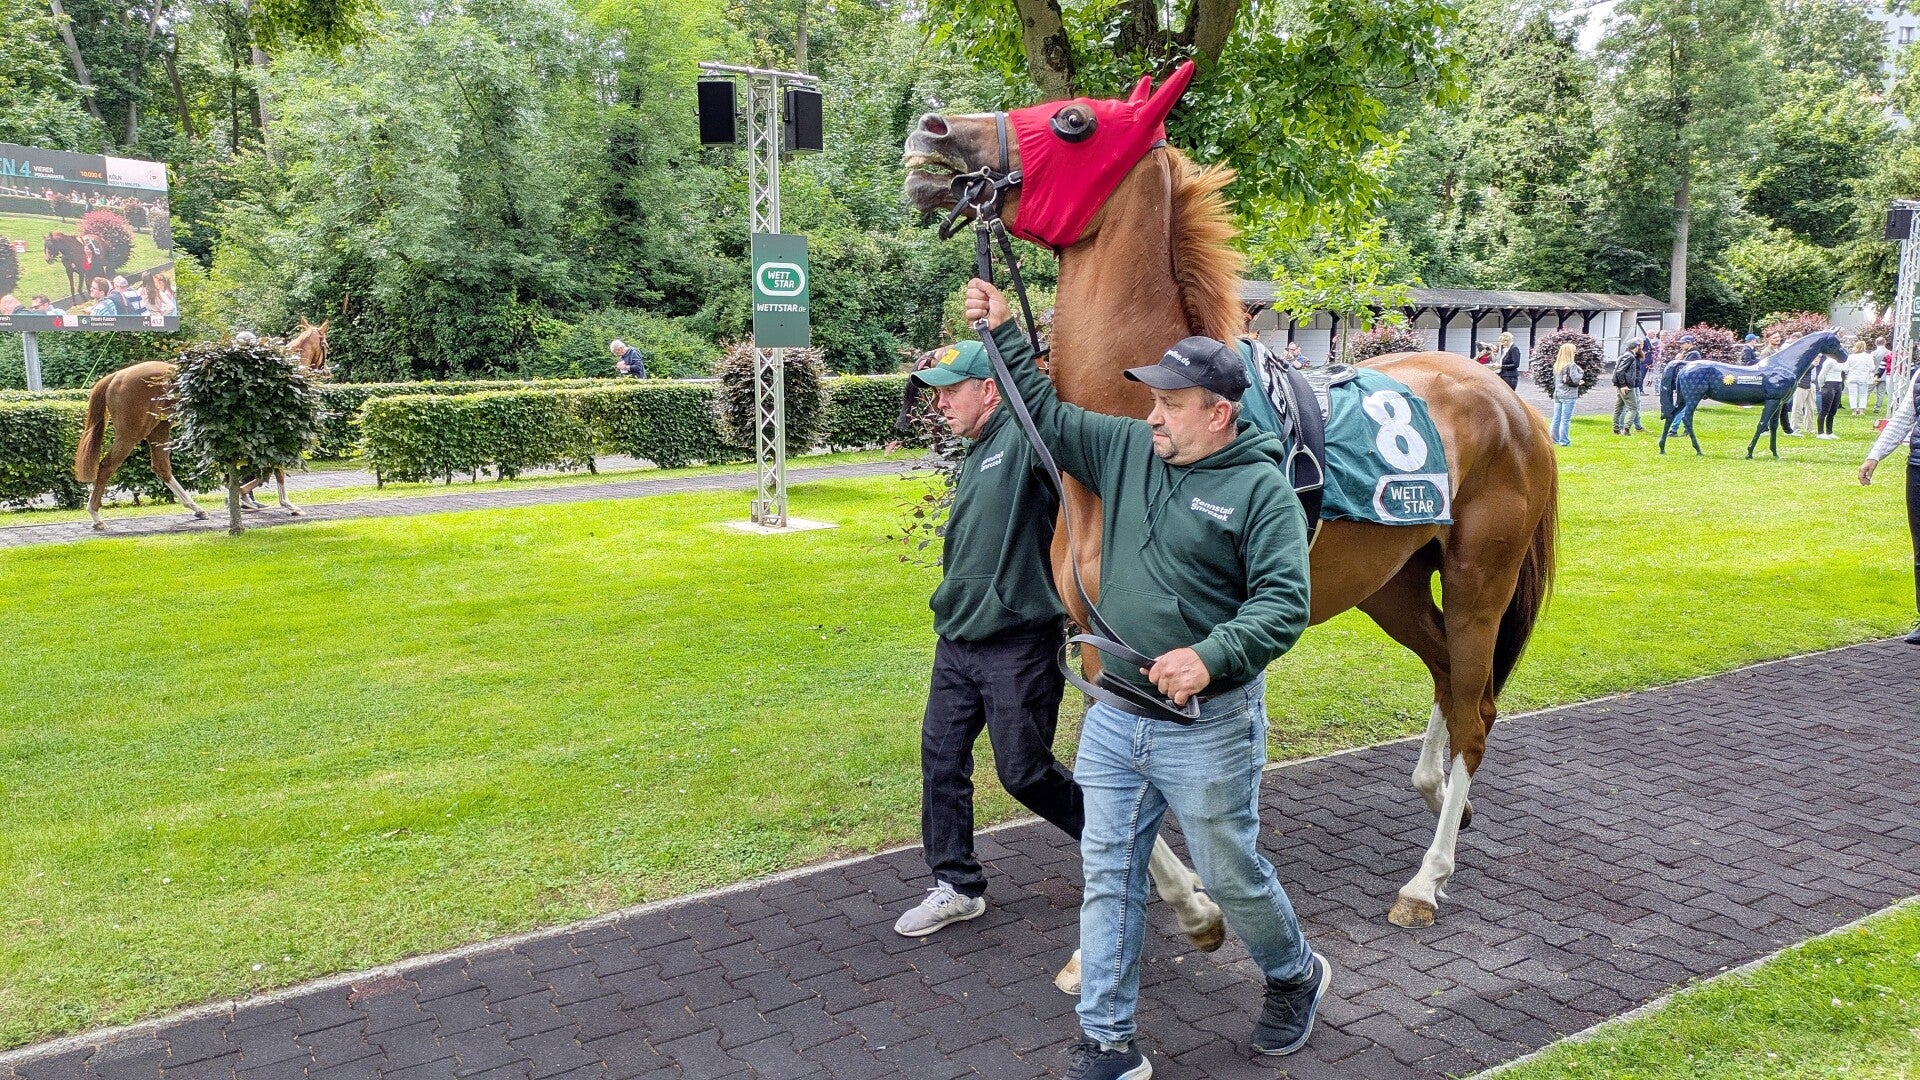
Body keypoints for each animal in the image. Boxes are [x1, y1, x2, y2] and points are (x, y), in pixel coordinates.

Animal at [74, 362, 209, 530]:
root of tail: (117, 376)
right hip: (131, 435)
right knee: (106, 466)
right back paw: (96, 516)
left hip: (159, 428)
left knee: (162, 467)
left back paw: (196, 508)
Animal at [904, 64, 1558, 960]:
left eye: (1072, 120)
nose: (930, 131)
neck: (1132, 424)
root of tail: (1510, 400)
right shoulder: (1103, 640)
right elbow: (1114, 771)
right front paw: (1179, 908)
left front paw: (1197, 908)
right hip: (1390, 580)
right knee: (1447, 676)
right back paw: (1432, 791)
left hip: (1478, 580)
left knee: (1476, 706)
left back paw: (1426, 880)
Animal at [1658, 331, 1845, 457]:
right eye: (1834, 342)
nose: (1844, 357)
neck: (1783, 365)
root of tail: (1686, 365)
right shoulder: (1771, 401)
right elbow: (1762, 425)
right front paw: (1749, 453)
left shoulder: (1778, 403)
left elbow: (1774, 426)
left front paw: (1775, 453)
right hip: (1693, 398)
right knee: (1686, 418)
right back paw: (1698, 450)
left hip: (1683, 399)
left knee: (1671, 416)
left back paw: (1662, 448)